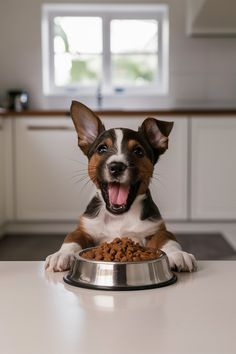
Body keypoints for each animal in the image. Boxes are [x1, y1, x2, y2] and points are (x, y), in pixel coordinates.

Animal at [45, 101, 196, 272]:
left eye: (138, 151)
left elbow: (166, 237)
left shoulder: (156, 228)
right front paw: (62, 254)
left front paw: (178, 254)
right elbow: (72, 236)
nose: (116, 167)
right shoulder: (85, 229)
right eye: (102, 149)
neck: (119, 217)